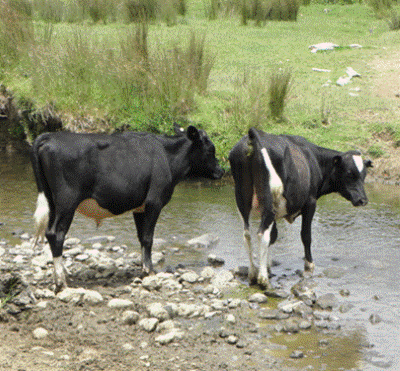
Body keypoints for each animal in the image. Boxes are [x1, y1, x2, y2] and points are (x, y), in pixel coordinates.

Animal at [30, 125, 225, 294]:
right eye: (211, 150)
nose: (221, 171)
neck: (166, 155)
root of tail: (49, 136)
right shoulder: (154, 201)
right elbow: (148, 238)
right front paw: (149, 271)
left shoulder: (140, 207)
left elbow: (141, 237)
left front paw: (144, 268)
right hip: (66, 202)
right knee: (56, 234)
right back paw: (61, 281)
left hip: (52, 202)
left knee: (50, 232)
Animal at [230, 127, 374, 288]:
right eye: (349, 174)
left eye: (364, 175)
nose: (363, 200)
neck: (314, 160)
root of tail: (254, 134)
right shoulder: (310, 202)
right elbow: (306, 235)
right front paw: (309, 264)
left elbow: (274, 236)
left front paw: (267, 266)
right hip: (268, 200)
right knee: (262, 234)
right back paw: (262, 279)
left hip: (242, 199)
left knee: (247, 235)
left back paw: (253, 273)